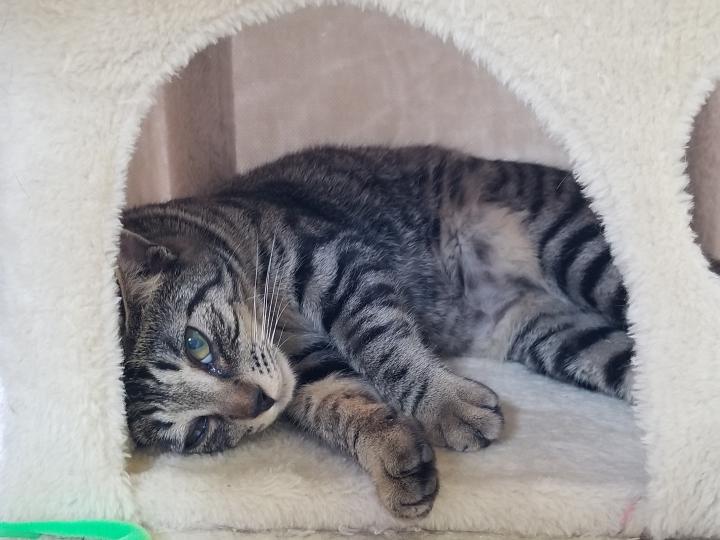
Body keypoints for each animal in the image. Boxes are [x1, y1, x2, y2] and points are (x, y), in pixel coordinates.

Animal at [118, 145, 637, 518]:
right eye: (198, 430)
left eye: (197, 346)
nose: (262, 403)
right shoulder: (307, 366)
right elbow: (343, 402)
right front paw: (390, 453)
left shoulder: (333, 262)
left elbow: (384, 347)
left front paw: (445, 403)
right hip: (558, 336)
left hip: (579, 251)